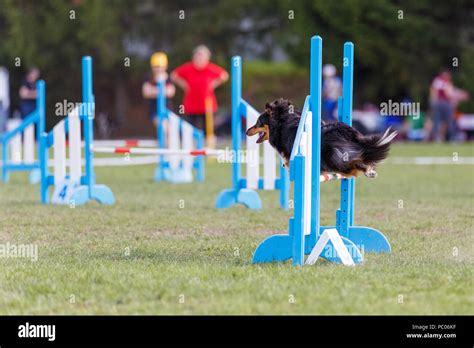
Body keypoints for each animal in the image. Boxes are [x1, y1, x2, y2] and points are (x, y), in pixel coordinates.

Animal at [246, 98, 398, 178]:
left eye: (258, 123)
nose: (247, 131)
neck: (281, 123)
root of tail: (345, 130)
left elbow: (287, 160)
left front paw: (287, 166)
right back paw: (370, 171)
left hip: (333, 156)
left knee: (352, 166)